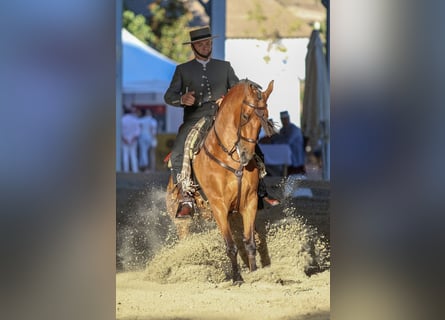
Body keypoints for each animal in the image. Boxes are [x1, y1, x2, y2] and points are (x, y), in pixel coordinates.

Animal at [165, 79, 272, 282]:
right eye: (245, 116)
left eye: (266, 118)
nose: (246, 155)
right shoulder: (218, 206)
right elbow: (230, 246)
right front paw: (237, 278)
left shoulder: (249, 202)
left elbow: (249, 242)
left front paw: (254, 273)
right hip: (183, 222)